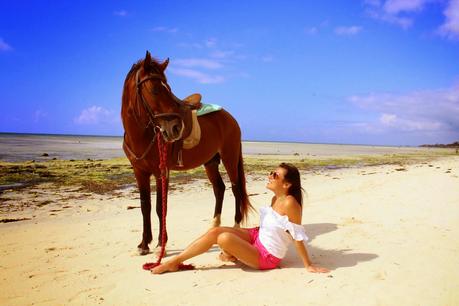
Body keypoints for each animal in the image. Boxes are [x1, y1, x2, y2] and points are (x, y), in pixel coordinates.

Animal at [120, 51, 253, 255]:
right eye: (155, 89)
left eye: (168, 88)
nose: (175, 128)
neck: (143, 135)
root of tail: (230, 118)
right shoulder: (139, 172)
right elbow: (145, 206)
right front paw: (144, 244)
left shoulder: (161, 172)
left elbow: (160, 207)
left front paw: (160, 245)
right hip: (211, 162)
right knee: (219, 188)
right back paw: (213, 227)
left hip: (229, 158)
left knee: (236, 188)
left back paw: (235, 226)